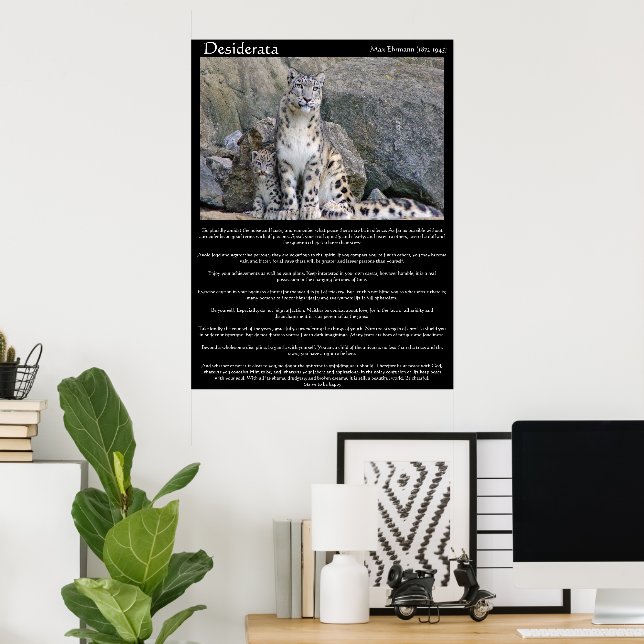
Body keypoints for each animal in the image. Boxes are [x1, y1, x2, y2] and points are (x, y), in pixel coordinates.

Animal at [274, 68, 442, 221]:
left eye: (315, 88)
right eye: (299, 85)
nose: (307, 99)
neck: (299, 121)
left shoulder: (314, 160)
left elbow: (311, 186)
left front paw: (309, 210)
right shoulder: (284, 160)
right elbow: (288, 188)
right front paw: (288, 211)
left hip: (337, 170)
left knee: (349, 204)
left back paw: (332, 207)